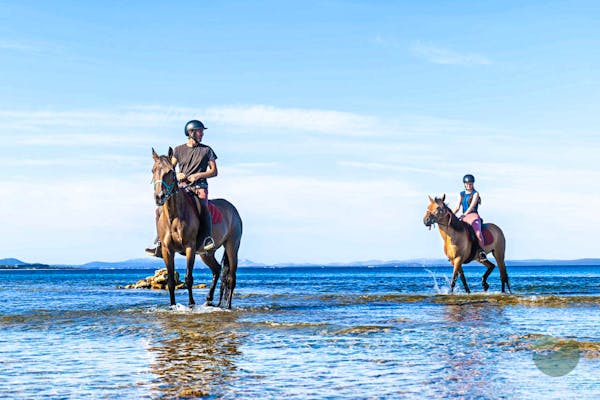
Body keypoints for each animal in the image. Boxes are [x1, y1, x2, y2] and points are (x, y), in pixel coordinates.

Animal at [151, 148, 243, 308]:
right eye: (153, 170)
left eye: (170, 171)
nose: (159, 197)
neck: (174, 216)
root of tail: (233, 210)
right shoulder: (167, 250)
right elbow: (170, 281)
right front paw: (172, 306)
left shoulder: (190, 247)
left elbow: (189, 278)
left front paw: (191, 304)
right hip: (206, 253)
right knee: (217, 269)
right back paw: (210, 300)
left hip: (232, 247)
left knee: (231, 278)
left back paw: (228, 306)